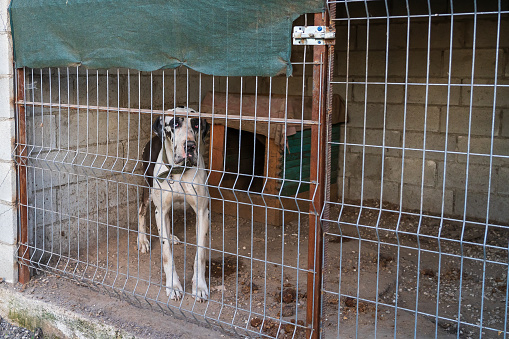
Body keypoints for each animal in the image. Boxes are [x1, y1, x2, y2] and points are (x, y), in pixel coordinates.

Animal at [136, 107, 209, 302]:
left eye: (196, 124)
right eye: (174, 123)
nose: (190, 146)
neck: (179, 170)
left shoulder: (203, 212)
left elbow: (201, 254)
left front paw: (199, 286)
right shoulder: (160, 211)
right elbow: (167, 254)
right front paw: (173, 286)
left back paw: (171, 236)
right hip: (147, 190)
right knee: (141, 211)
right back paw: (143, 240)